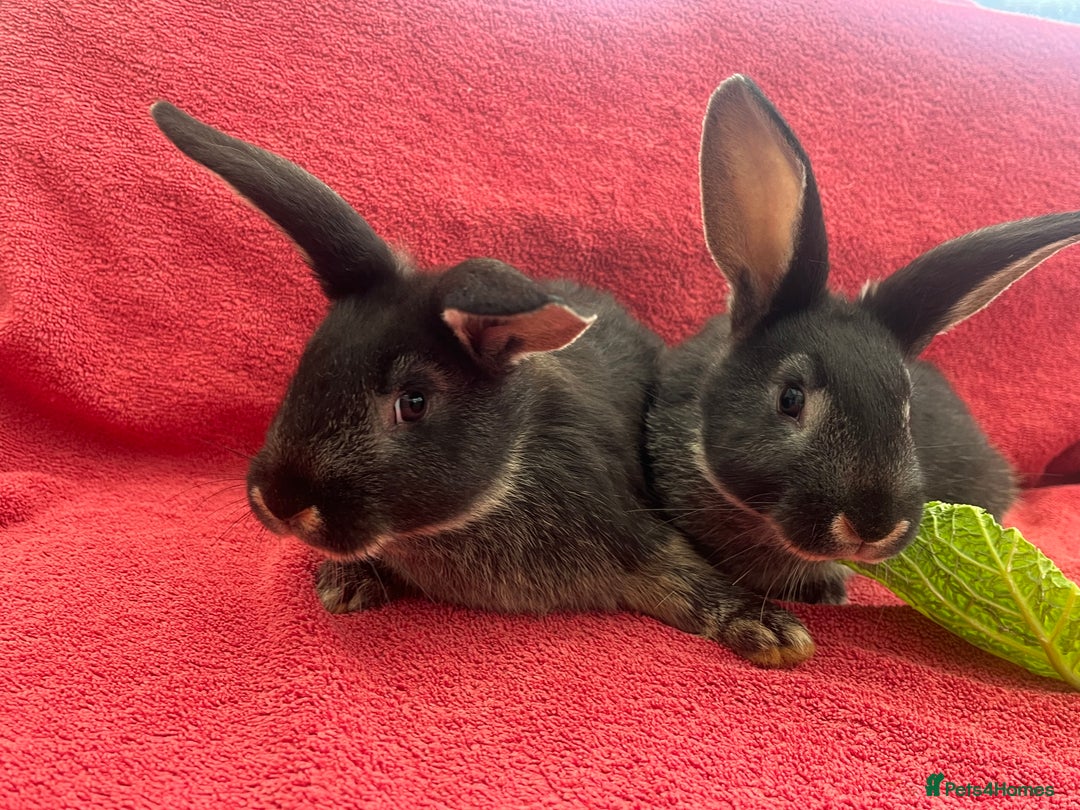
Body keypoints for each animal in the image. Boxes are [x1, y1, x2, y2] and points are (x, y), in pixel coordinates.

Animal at [150, 100, 817, 667]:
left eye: (413, 402)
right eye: (308, 363)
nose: (282, 502)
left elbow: (690, 579)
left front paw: (773, 633)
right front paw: (346, 585)